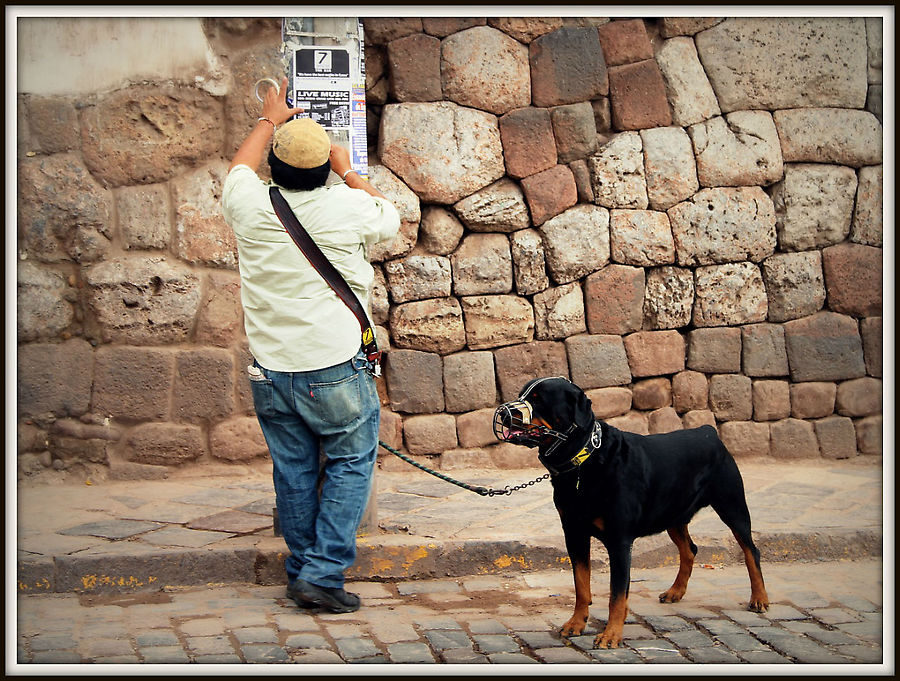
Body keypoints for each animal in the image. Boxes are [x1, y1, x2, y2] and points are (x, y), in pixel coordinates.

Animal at [492, 378, 768, 648]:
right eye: (522, 394)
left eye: (538, 399)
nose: (504, 413)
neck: (583, 462)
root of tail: (708, 431)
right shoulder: (574, 532)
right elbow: (581, 585)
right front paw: (576, 623)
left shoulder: (619, 541)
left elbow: (617, 595)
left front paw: (611, 635)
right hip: (672, 515)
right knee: (690, 549)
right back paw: (675, 591)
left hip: (732, 506)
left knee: (750, 551)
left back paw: (759, 599)